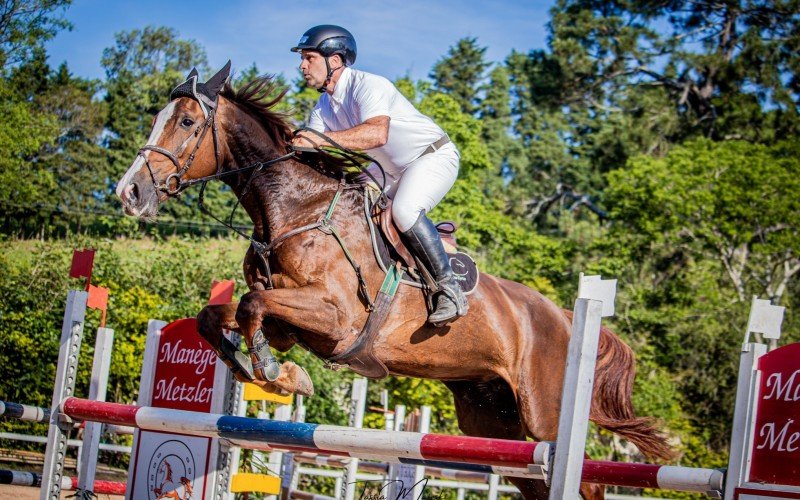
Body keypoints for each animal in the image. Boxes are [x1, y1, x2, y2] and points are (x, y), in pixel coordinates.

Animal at [114, 64, 676, 498]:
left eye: (187, 121)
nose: (129, 193)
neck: (296, 208)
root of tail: (563, 314)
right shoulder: (289, 319)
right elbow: (217, 316)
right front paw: (273, 373)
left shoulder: (333, 318)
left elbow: (251, 306)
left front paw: (278, 375)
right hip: (494, 420)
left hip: (545, 416)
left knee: (585, 482)